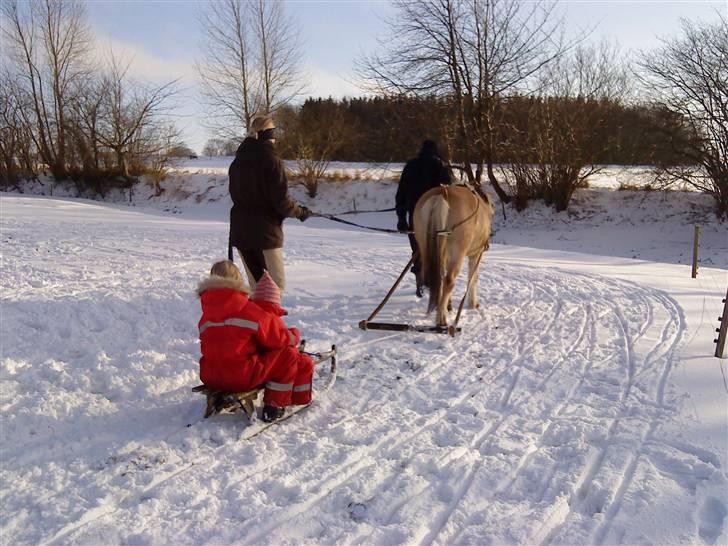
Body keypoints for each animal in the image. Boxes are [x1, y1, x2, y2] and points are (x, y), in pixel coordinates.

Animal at [416, 185, 494, 326]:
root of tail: (442, 192)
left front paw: (448, 304)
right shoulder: (476, 255)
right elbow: (473, 278)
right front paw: (473, 303)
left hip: (425, 246)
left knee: (437, 278)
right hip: (458, 252)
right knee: (449, 280)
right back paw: (441, 318)